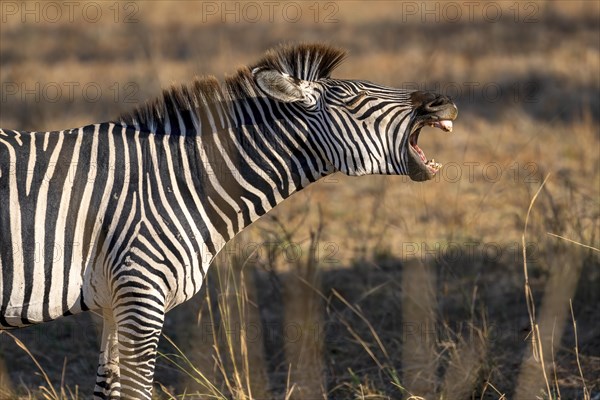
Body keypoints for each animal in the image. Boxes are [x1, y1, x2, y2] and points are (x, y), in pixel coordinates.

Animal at [1, 43, 460, 396]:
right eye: (351, 97)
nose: (444, 102)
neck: (180, 181)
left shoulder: (114, 302)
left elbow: (108, 388)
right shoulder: (140, 293)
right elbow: (136, 390)